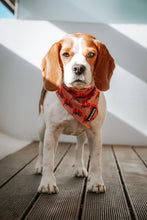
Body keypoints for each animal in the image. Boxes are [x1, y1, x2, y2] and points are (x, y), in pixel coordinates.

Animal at [35, 33, 115, 193]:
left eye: (91, 54)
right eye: (65, 54)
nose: (78, 68)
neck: (78, 97)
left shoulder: (95, 132)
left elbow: (96, 160)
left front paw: (96, 182)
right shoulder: (52, 131)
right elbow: (48, 158)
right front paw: (47, 183)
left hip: (82, 133)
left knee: (79, 149)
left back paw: (79, 168)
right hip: (42, 128)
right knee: (41, 148)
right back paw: (39, 165)